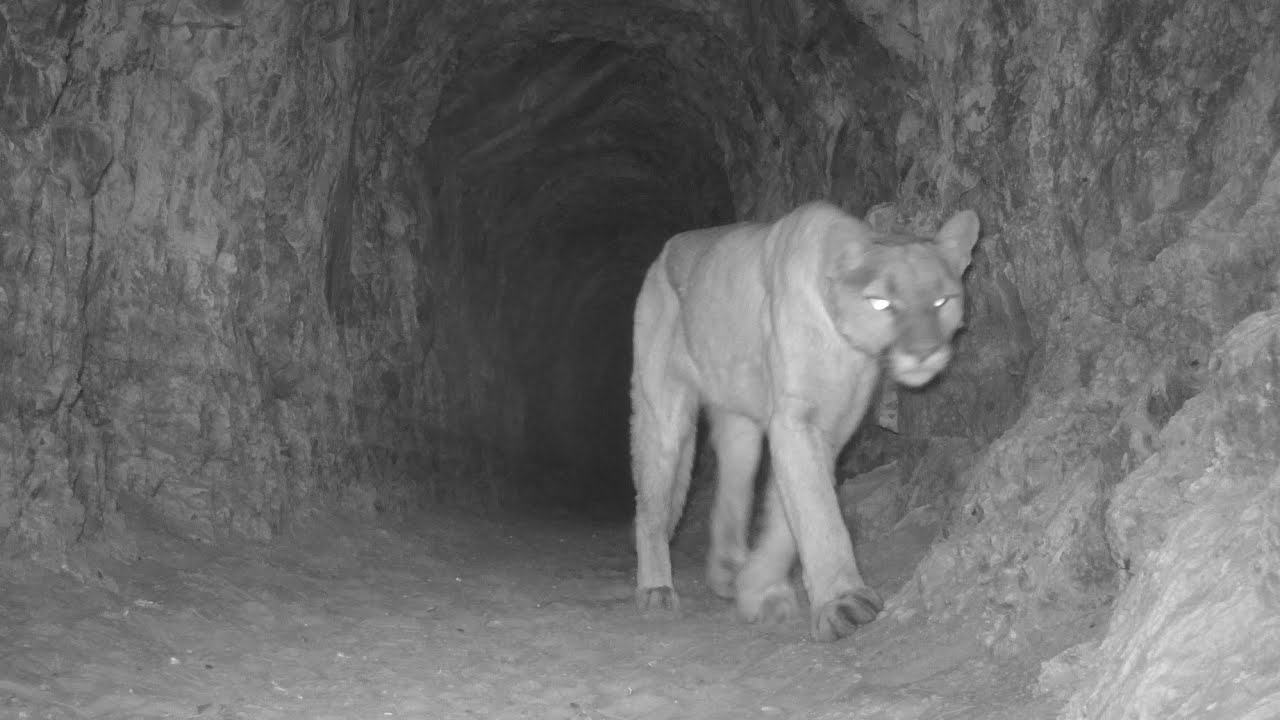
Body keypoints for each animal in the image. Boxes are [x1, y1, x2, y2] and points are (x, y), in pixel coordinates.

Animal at [630, 200, 979, 642]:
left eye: (942, 301)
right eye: (881, 303)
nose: (924, 353)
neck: (848, 348)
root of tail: (667, 251)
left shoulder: (829, 426)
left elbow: (788, 515)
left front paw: (758, 587)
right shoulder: (795, 420)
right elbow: (817, 509)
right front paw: (842, 603)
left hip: (739, 420)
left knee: (734, 482)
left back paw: (728, 571)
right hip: (663, 411)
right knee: (651, 502)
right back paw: (656, 589)